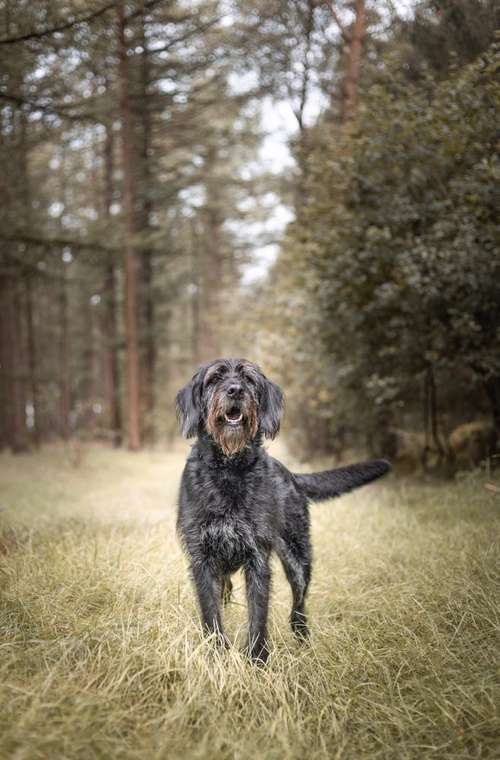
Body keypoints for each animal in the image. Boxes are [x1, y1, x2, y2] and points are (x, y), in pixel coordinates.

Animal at [176, 360, 390, 664]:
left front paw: (257, 660)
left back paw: (302, 637)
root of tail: (292, 476)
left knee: (299, 603)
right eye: (214, 378)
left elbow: (258, 613)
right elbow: (211, 613)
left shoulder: (257, 558)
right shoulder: (202, 559)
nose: (235, 390)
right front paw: (217, 655)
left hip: (298, 557)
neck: (229, 468)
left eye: (249, 379)